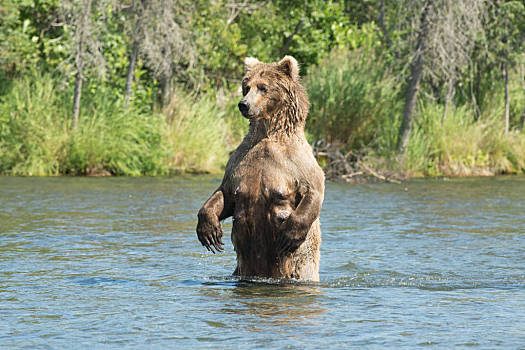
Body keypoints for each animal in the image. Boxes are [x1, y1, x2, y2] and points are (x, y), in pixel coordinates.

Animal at [195, 55, 324, 282]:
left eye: (263, 87)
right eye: (246, 87)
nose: (243, 105)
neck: (267, 133)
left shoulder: (297, 161)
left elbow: (314, 188)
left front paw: (289, 235)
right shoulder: (239, 161)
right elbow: (225, 193)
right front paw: (209, 230)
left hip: (301, 267)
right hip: (241, 269)